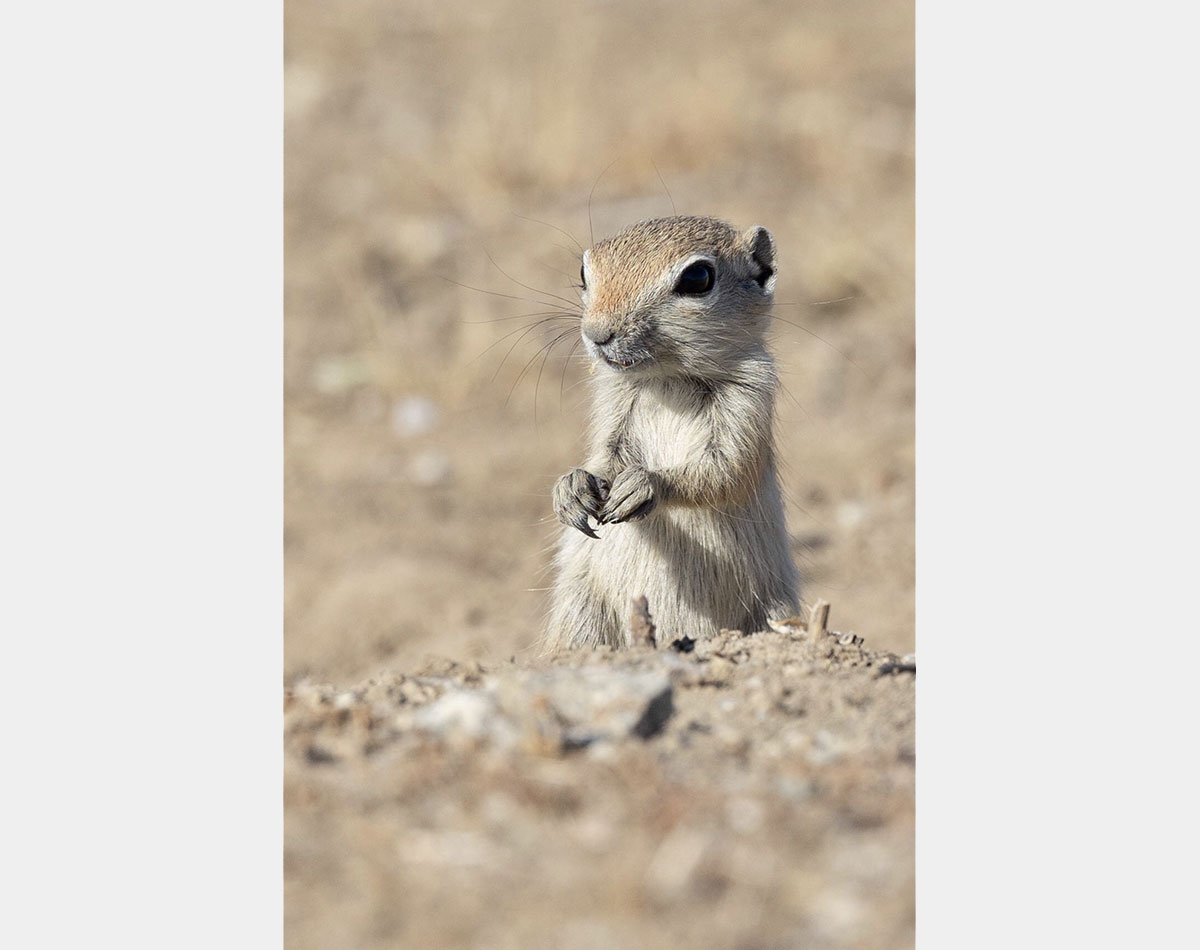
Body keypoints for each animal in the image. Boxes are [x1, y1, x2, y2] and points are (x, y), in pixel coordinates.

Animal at [549, 213, 801, 652]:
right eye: (583, 271)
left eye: (698, 278)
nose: (597, 334)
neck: (669, 379)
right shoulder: (613, 409)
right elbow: (602, 457)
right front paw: (571, 489)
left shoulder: (750, 399)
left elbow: (725, 471)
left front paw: (644, 485)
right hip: (580, 613)